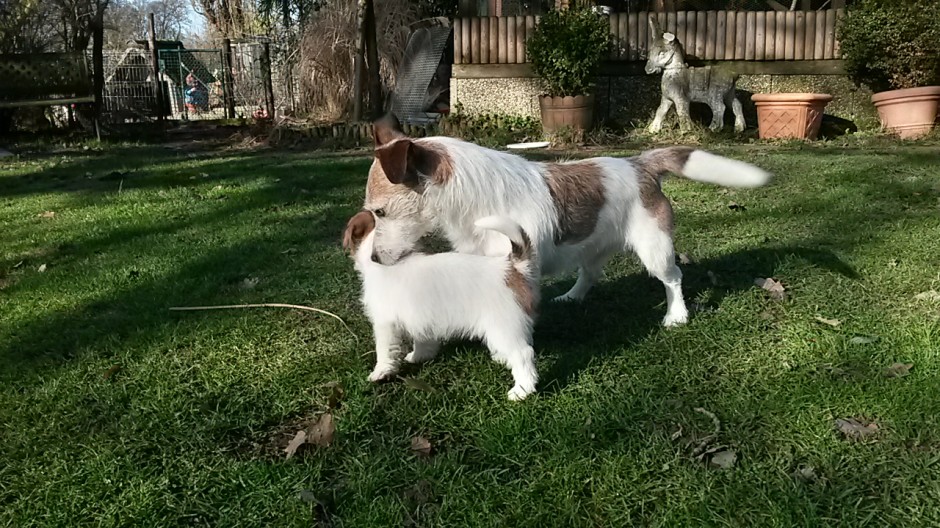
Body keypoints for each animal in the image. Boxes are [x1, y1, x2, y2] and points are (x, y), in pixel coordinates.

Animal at [342, 210, 540, 400]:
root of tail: (511, 267)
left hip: (502, 326)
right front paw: (418, 356)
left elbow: (384, 351)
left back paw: (521, 390)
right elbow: (423, 340)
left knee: (523, 354)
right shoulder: (421, 318)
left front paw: (380, 372)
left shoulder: (385, 324)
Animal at [364, 116, 768, 326]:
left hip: (656, 249)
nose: (373, 259)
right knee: (589, 275)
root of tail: (640, 163)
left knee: (673, 278)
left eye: (379, 212)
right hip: (592, 248)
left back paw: (676, 314)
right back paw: (572, 297)